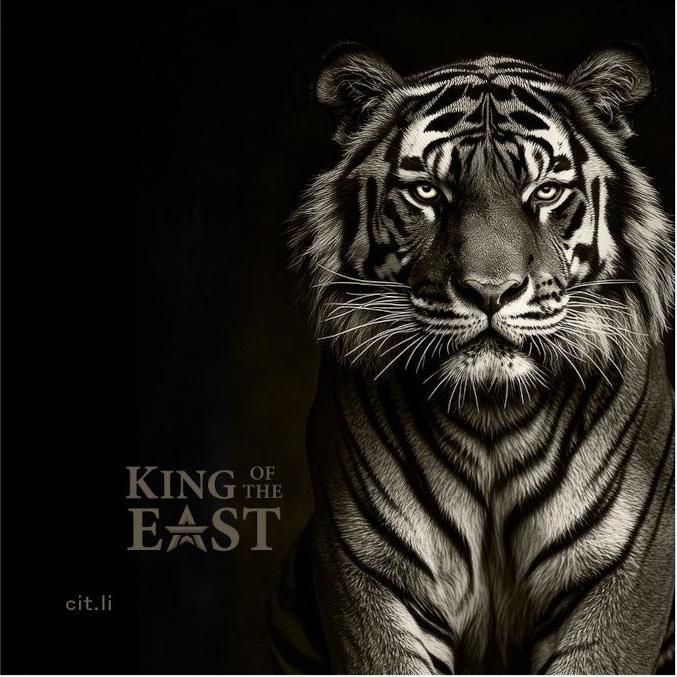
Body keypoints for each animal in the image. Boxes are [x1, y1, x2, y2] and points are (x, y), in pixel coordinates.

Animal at [268, 43, 675, 674]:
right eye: (429, 193)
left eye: (545, 192)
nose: (490, 291)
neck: (492, 413)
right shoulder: (371, 572)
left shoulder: (621, 574)